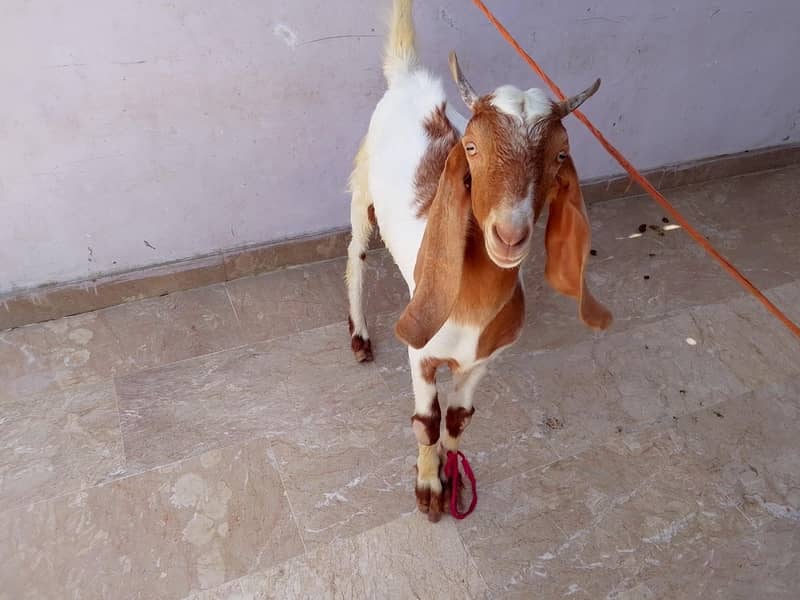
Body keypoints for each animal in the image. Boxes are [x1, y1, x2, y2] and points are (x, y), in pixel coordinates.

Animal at [346, 0, 612, 521]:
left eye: (560, 155)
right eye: (471, 148)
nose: (509, 235)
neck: (469, 308)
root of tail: (409, 77)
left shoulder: (484, 360)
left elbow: (457, 421)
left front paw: (452, 481)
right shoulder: (420, 354)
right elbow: (427, 422)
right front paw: (428, 489)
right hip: (364, 186)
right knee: (356, 252)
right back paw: (360, 335)